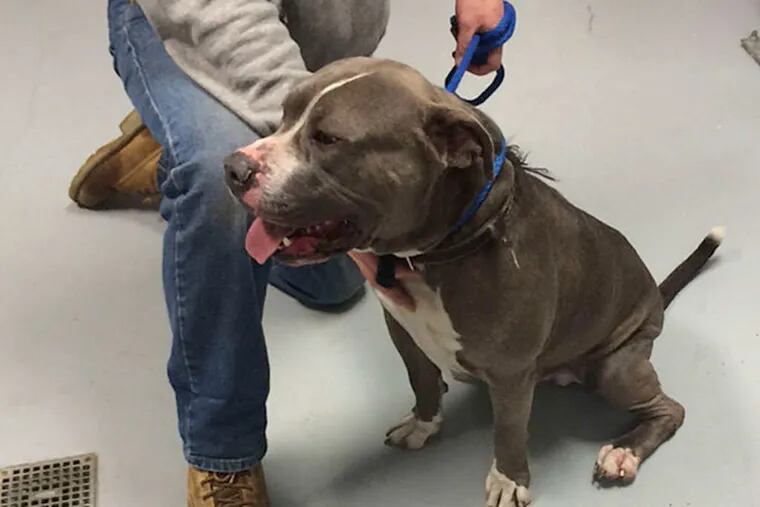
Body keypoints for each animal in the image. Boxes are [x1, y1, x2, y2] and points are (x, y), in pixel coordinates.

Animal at [223, 57, 722, 507]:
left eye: (328, 139)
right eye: (285, 113)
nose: (233, 168)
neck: (436, 253)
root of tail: (655, 295)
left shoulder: (511, 374)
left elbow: (509, 431)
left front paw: (508, 480)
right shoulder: (401, 329)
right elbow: (422, 381)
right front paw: (424, 423)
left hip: (615, 368)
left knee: (670, 409)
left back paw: (624, 451)